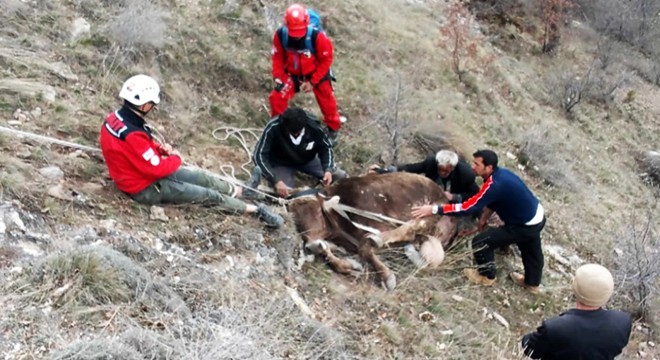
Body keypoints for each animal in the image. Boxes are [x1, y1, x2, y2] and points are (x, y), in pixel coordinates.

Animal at [288, 172, 458, 290]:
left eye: (317, 211)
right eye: (295, 219)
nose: (311, 246)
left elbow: (365, 249)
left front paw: (387, 276)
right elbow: (329, 254)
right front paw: (351, 266)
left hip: (432, 212)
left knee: (415, 227)